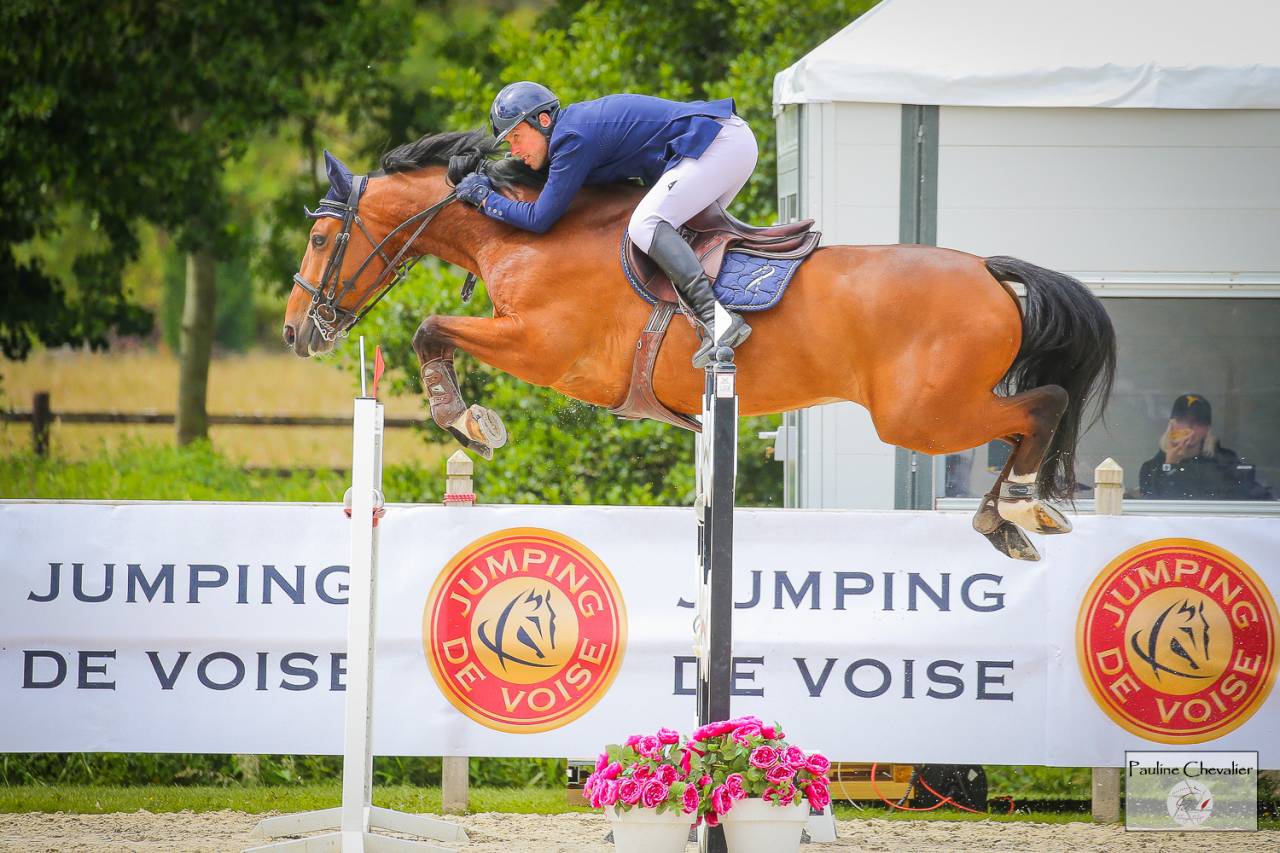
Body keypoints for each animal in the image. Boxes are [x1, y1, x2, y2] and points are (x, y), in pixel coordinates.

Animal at [282, 130, 1116, 561]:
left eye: (321, 238)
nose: (297, 331)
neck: (527, 233)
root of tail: (991, 273)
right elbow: (436, 331)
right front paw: (469, 417)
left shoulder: (543, 348)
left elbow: (430, 329)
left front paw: (467, 420)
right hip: (931, 409)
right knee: (1036, 408)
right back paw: (1008, 517)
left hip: (920, 414)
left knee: (1043, 403)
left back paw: (1018, 507)